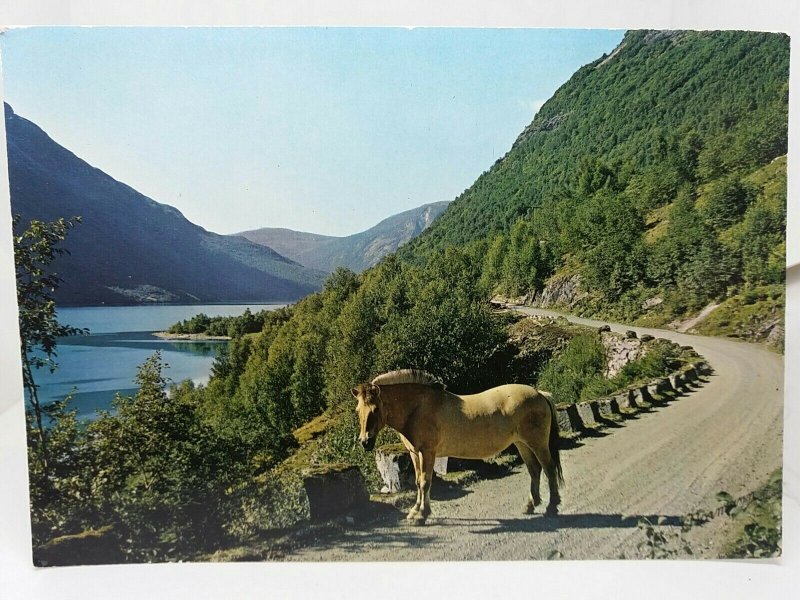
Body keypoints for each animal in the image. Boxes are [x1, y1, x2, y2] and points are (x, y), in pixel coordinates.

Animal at [350, 370, 564, 524]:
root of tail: (539, 393)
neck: (418, 408)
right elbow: (418, 481)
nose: (365, 441)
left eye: (375, 409)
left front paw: (422, 515)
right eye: (358, 410)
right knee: (534, 470)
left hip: (537, 443)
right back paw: (530, 505)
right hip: (522, 444)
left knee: (549, 469)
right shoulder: (414, 454)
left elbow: (425, 482)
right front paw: (414, 512)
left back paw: (552, 507)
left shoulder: (427, 453)